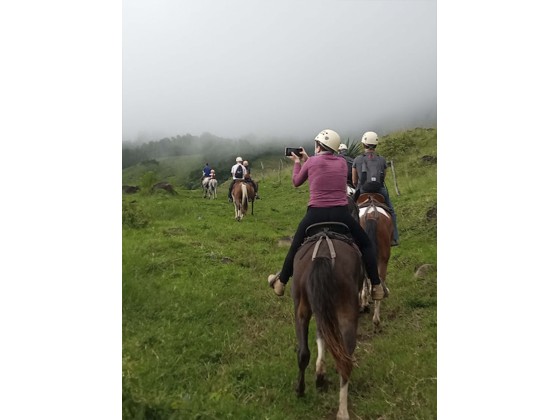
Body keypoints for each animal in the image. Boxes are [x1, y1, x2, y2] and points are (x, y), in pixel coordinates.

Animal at [290, 223, 366, 420]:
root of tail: (323, 254)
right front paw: (320, 375)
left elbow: (321, 336)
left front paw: (320, 374)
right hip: (345, 312)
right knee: (344, 359)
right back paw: (342, 410)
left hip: (302, 308)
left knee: (304, 353)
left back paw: (301, 390)